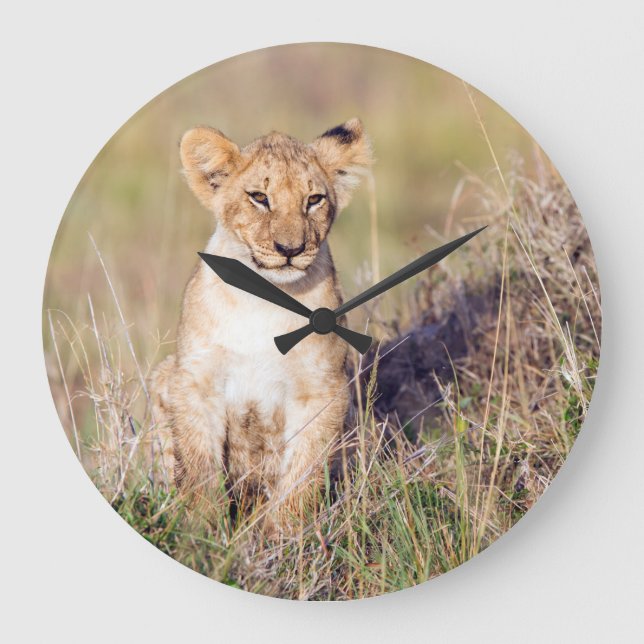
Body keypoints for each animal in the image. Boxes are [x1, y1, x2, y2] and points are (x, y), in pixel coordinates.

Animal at [149, 118, 373, 532]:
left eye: (313, 200)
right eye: (259, 197)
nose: (290, 249)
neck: (263, 298)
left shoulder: (322, 389)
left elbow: (302, 472)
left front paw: (284, 536)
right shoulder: (195, 380)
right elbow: (199, 468)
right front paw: (202, 533)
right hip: (163, 374)